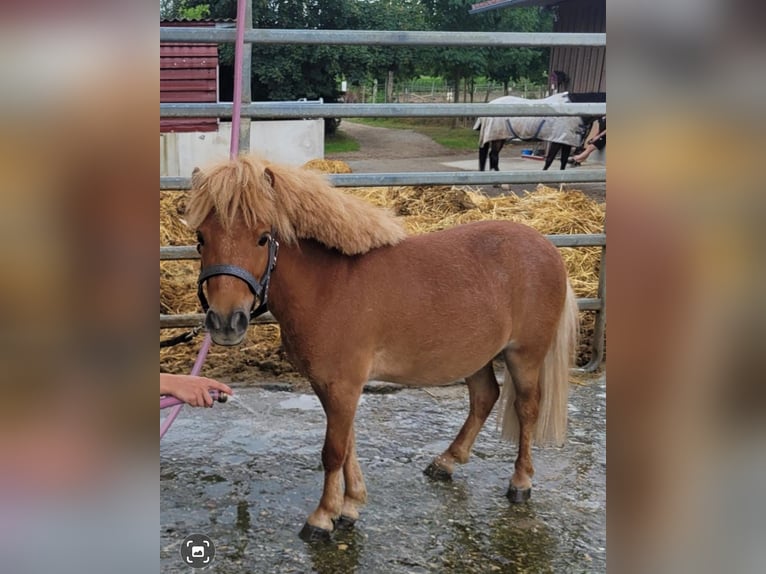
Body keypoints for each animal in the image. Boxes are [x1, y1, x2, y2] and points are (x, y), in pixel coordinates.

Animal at [189, 155, 580, 544]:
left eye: (263, 238)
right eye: (201, 238)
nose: (225, 321)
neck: (329, 284)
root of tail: (547, 248)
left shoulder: (343, 385)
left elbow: (333, 450)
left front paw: (322, 517)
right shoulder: (331, 386)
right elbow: (347, 442)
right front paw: (350, 506)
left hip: (524, 355)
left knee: (526, 408)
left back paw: (520, 482)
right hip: (476, 356)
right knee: (485, 397)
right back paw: (446, 462)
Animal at [474, 92, 608, 171]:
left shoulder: (566, 141)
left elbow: (563, 161)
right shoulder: (558, 140)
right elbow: (549, 160)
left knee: (493, 155)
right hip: (497, 136)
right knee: (494, 155)